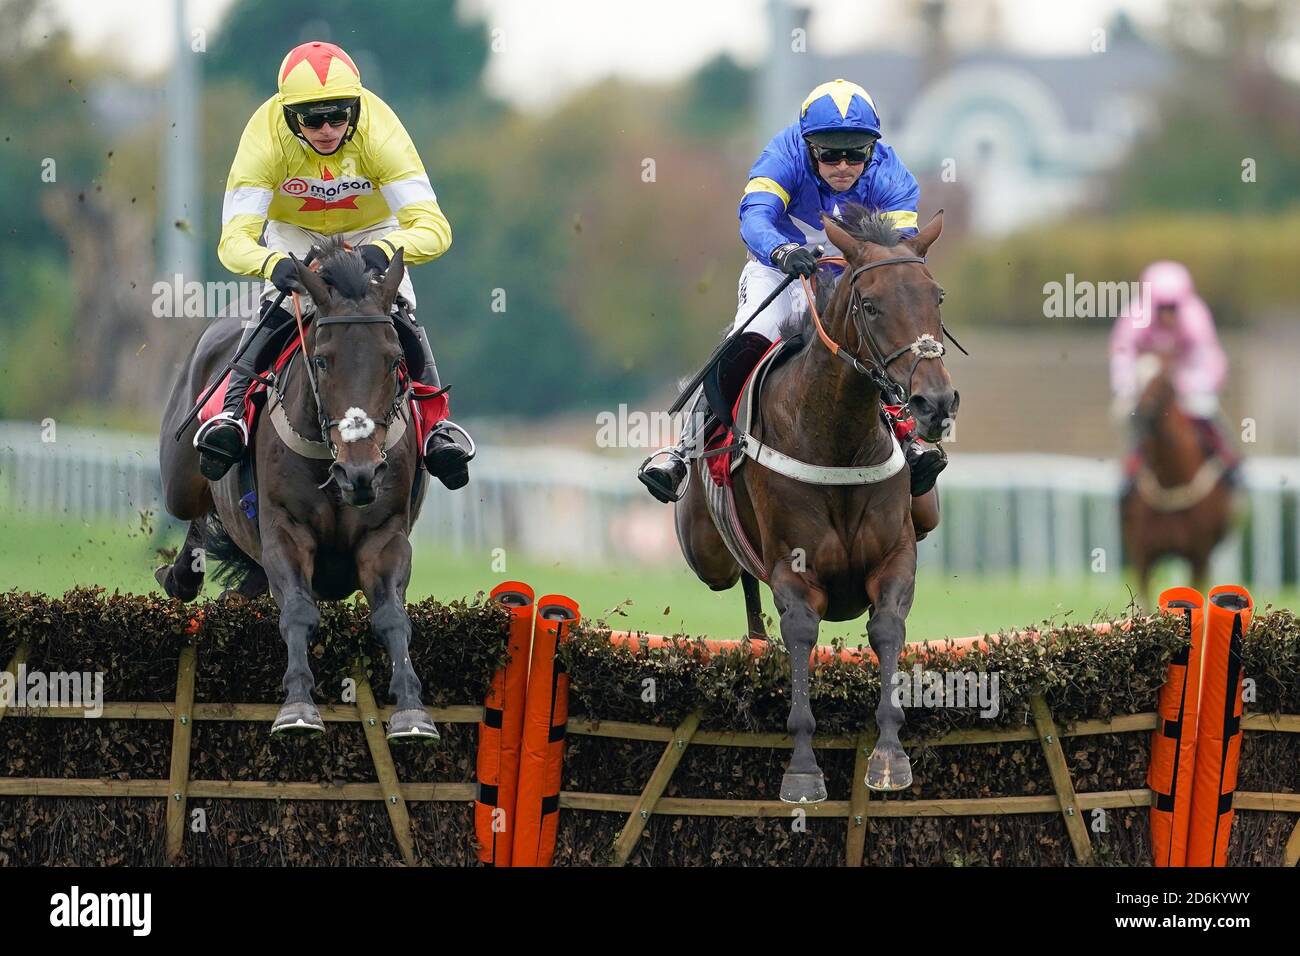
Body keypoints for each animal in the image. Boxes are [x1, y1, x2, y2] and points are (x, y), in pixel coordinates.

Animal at [156, 243, 441, 743]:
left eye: (393, 360)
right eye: (322, 360)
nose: (360, 473)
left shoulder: (384, 538)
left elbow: (392, 616)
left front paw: (411, 709)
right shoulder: (286, 532)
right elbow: (298, 612)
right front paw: (298, 705)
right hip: (181, 479)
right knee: (198, 511)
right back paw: (183, 575)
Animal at [676, 209, 961, 801]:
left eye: (936, 296)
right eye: (870, 304)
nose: (935, 402)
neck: (837, 437)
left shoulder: (895, 556)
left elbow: (887, 629)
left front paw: (890, 754)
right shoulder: (794, 568)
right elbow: (802, 634)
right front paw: (803, 768)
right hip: (705, 552)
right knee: (735, 575)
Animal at [1123, 356, 1232, 608]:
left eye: (1166, 383)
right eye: (1135, 381)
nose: (1141, 414)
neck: (1170, 482)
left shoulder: (1198, 556)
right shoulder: (1142, 555)